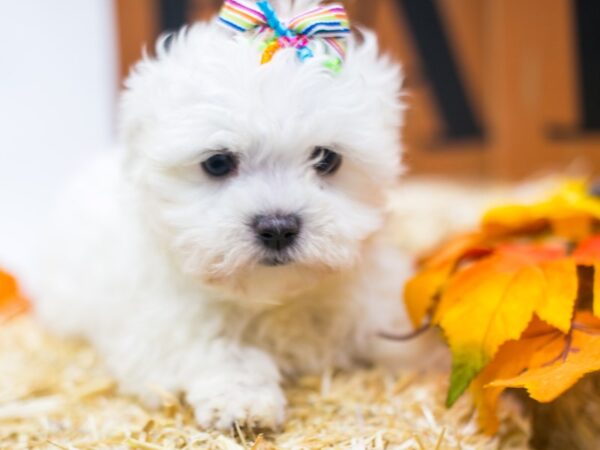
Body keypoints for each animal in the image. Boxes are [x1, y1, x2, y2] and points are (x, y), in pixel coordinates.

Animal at [32, 0, 418, 430]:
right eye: (218, 163)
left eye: (326, 159)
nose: (278, 228)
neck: (271, 300)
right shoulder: (157, 327)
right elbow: (220, 349)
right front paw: (244, 400)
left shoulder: (379, 307)